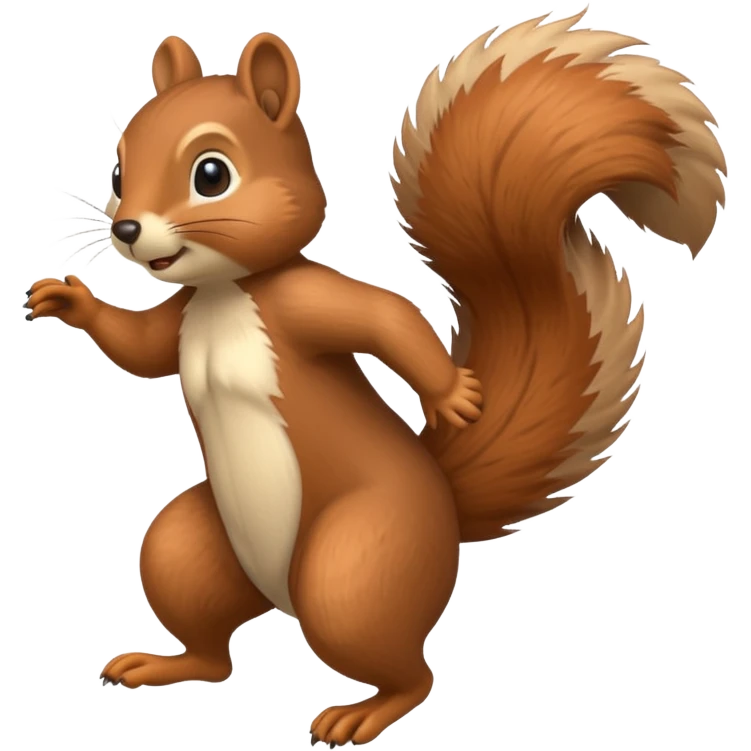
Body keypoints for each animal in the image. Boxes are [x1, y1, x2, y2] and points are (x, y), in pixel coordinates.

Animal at [30, 8, 725, 747]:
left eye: (211, 174)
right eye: (118, 167)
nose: (128, 229)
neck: (225, 293)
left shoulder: (306, 301)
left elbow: (386, 317)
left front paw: (453, 395)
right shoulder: (183, 317)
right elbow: (141, 350)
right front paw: (66, 301)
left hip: (356, 567)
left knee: (410, 672)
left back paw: (364, 712)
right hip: (190, 549)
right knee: (212, 649)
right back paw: (165, 664)